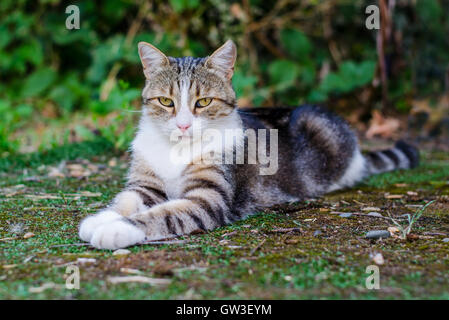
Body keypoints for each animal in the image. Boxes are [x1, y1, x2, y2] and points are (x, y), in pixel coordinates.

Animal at [79, 40, 418, 250]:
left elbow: (161, 214)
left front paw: (115, 229)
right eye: (165, 101)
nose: (184, 125)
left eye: (203, 102)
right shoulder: (146, 184)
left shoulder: (208, 199)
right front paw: (100, 219)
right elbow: (125, 200)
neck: (177, 150)